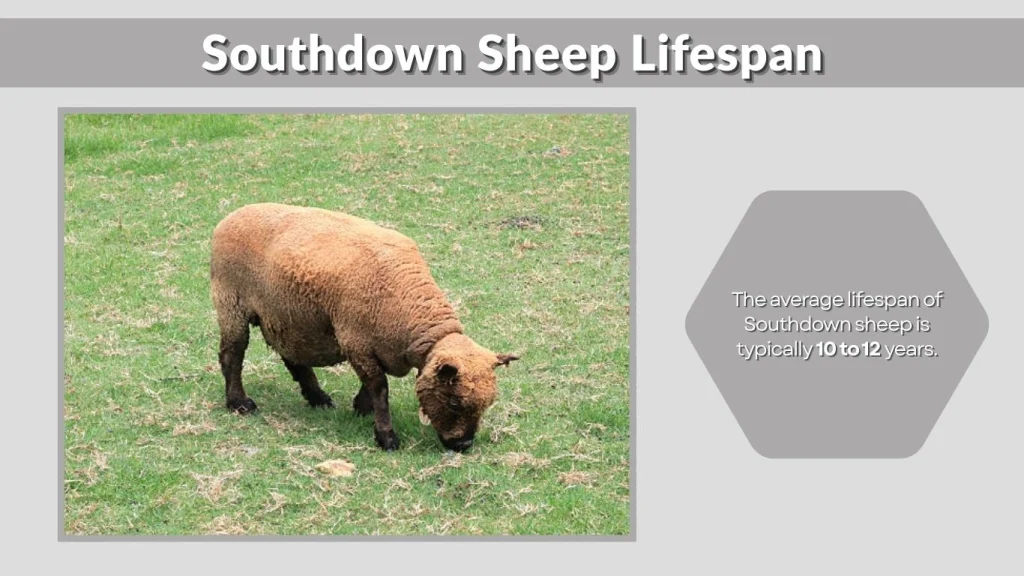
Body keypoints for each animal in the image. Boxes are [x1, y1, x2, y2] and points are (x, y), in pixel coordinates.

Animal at [209, 202, 519, 452]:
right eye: (454, 402)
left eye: (487, 404)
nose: (463, 445)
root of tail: (232, 215)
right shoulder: (355, 341)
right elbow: (380, 387)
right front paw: (386, 437)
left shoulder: (371, 346)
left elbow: (372, 383)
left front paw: (361, 407)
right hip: (231, 303)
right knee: (231, 355)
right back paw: (239, 403)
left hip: (287, 317)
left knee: (293, 358)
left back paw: (318, 397)